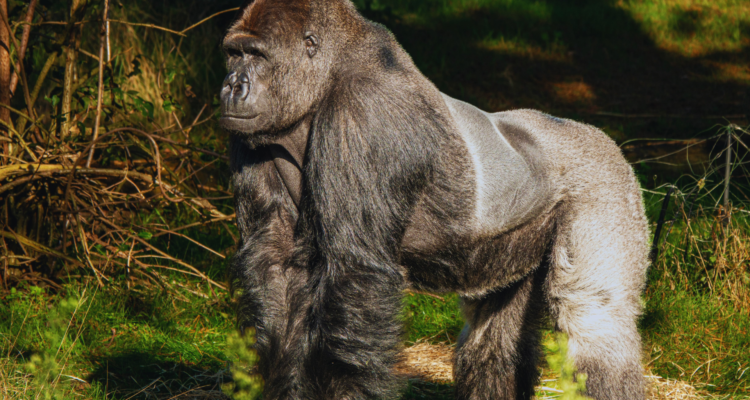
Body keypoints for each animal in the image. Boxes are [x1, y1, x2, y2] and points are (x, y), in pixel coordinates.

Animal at [220, 1, 650, 399]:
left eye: (256, 55)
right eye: (233, 54)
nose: (231, 86)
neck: (328, 75)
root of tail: (605, 139)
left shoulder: (365, 115)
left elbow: (353, 275)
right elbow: (275, 268)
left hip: (606, 184)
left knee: (595, 320)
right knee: (492, 339)